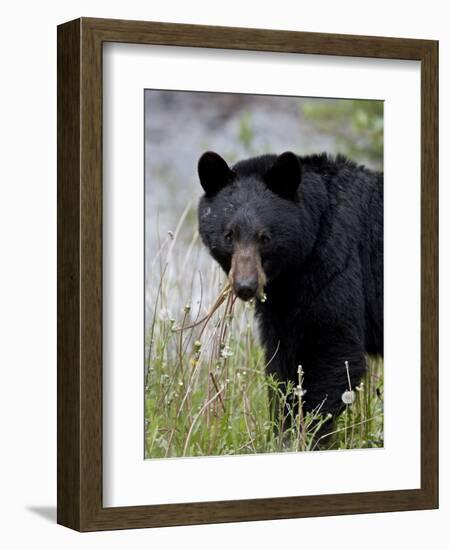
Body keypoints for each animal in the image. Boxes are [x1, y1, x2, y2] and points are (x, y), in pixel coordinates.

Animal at [196, 151, 382, 444]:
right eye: (229, 235)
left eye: (265, 237)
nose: (245, 286)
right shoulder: (283, 300)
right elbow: (282, 362)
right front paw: (281, 431)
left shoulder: (335, 264)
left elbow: (333, 350)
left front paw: (306, 436)